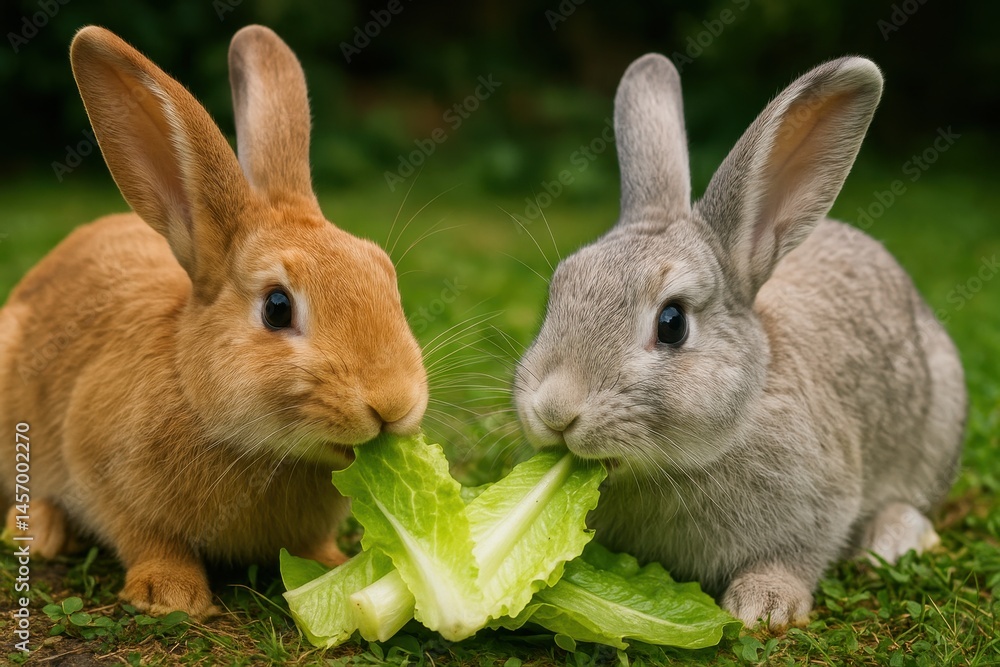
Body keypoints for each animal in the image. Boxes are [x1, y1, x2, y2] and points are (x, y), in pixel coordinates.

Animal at [0, 25, 427, 619]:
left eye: (385, 276)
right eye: (277, 307)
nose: (393, 403)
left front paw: (335, 570)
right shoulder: (100, 475)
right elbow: (147, 538)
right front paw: (170, 596)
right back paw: (37, 532)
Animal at [513, 54, 966, 629]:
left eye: (672, 323)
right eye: (558, 291)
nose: (554, 410)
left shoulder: (821, 506)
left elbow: (795, 556)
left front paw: (764, 605)